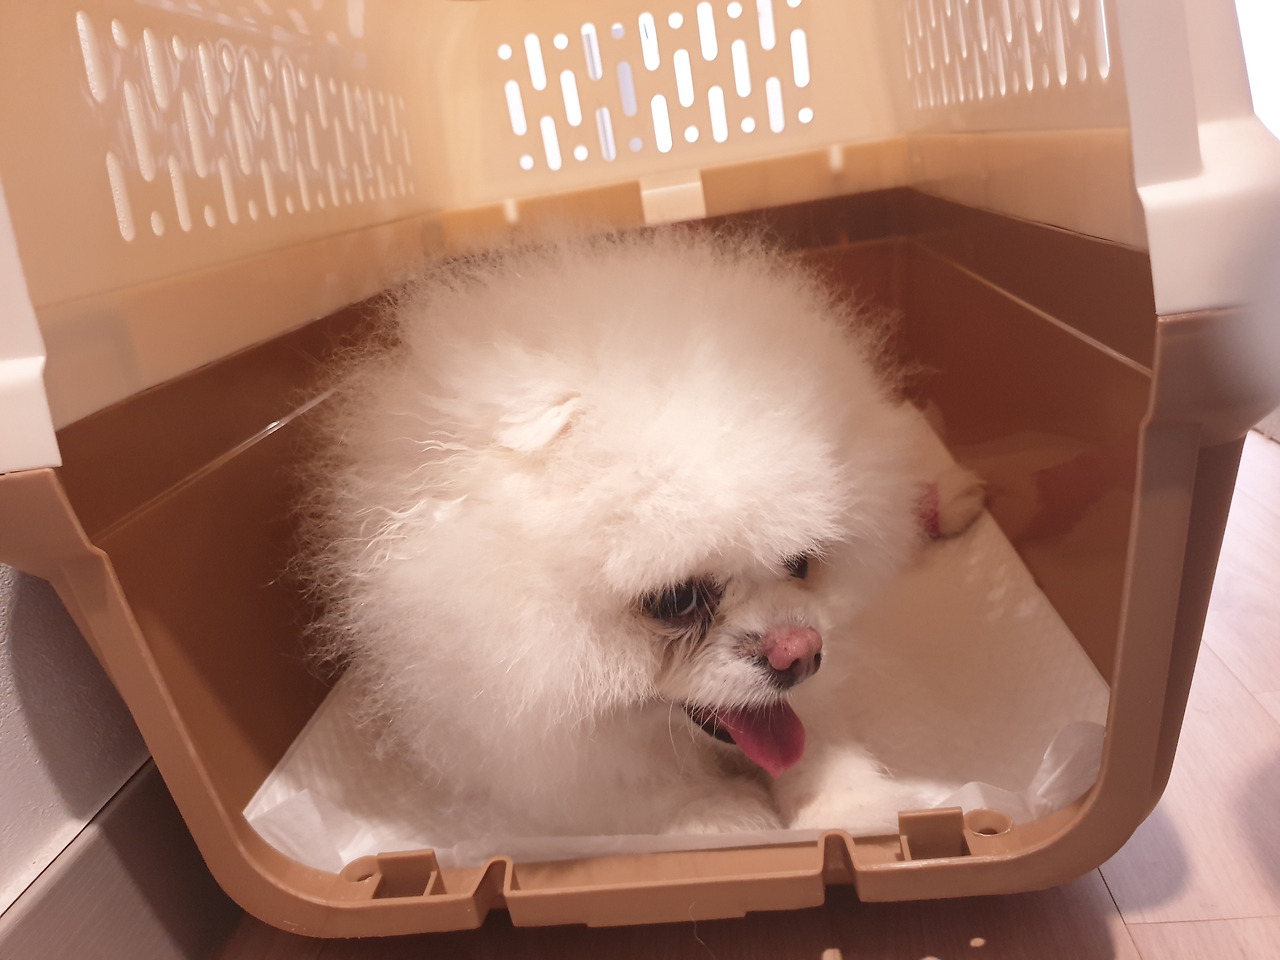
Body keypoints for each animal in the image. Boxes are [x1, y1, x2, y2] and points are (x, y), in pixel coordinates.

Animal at [299, 230, 982, 842]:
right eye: (675, 601)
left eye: (800, 564)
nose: (801, 650)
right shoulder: (541, 761)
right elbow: (647, 796)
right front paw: (724, 818)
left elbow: (825, 746)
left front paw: (851, 812)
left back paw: (947, 495)